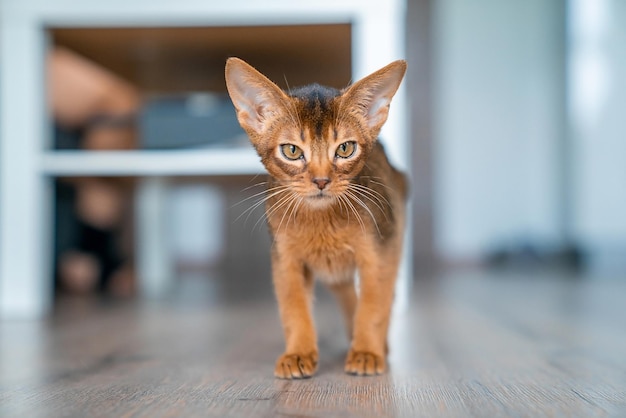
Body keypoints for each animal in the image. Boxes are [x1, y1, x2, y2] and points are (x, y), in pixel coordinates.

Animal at [224, 56, 404, 378]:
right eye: (292, 151)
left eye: (345, 148)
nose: (321, 181)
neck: (322, 221)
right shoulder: (285, 259)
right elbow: (293, 308)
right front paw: (298, 353)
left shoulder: (381, 252)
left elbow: (374, 305)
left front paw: (367, 352)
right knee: (345, 292)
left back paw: (374, 345)